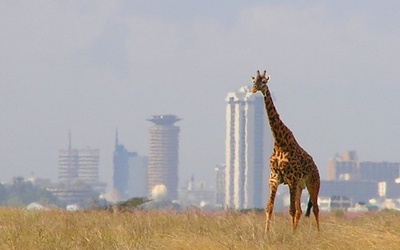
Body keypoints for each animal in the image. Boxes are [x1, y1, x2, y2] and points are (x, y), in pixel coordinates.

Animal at [252, 70, 320, 232]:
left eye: (264, 82)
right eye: (253, 81)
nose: (254, 89)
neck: (279, 143)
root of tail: (316, 168)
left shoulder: (292, 179)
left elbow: (291, 210)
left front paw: (291, 235)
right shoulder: (274, 178)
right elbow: (269, 208)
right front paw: (266, 234)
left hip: (313, 183)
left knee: (315, 209)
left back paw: (319, 234)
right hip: (301, 186)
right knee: (302, 210)